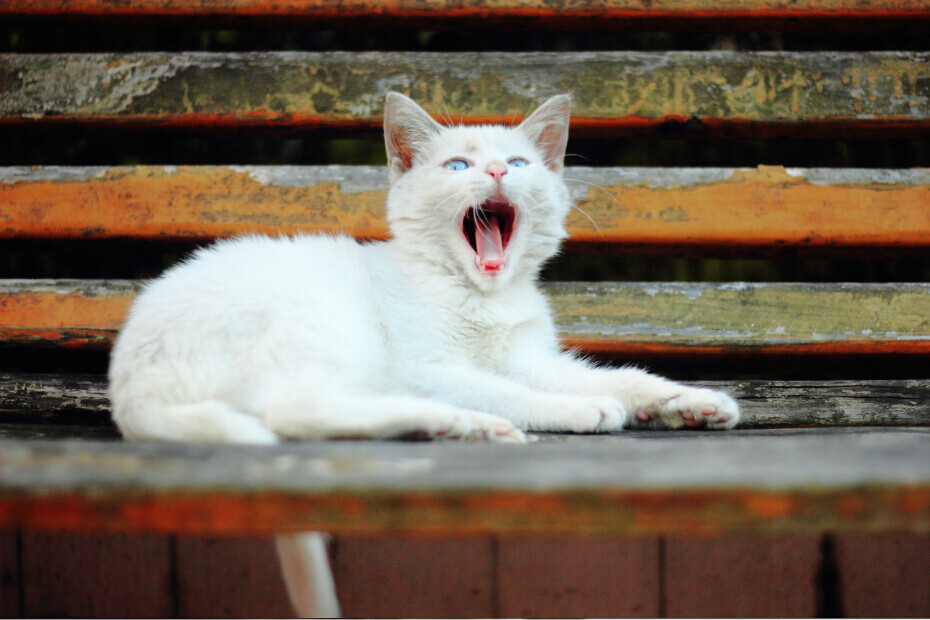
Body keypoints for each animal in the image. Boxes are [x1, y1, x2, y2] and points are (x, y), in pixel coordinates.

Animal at [107, 92, 740, 616]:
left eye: (517, 163)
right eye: (457, 166)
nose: (494, 171)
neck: (481, 295)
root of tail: (129, 387)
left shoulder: (530, 358)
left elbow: (613, 375)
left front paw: (689, 402)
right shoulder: (422, 365)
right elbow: (512, 390)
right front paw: (581, 410)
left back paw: (457, 427)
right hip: (329, 321)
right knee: (295, 411)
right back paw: (461, 421)